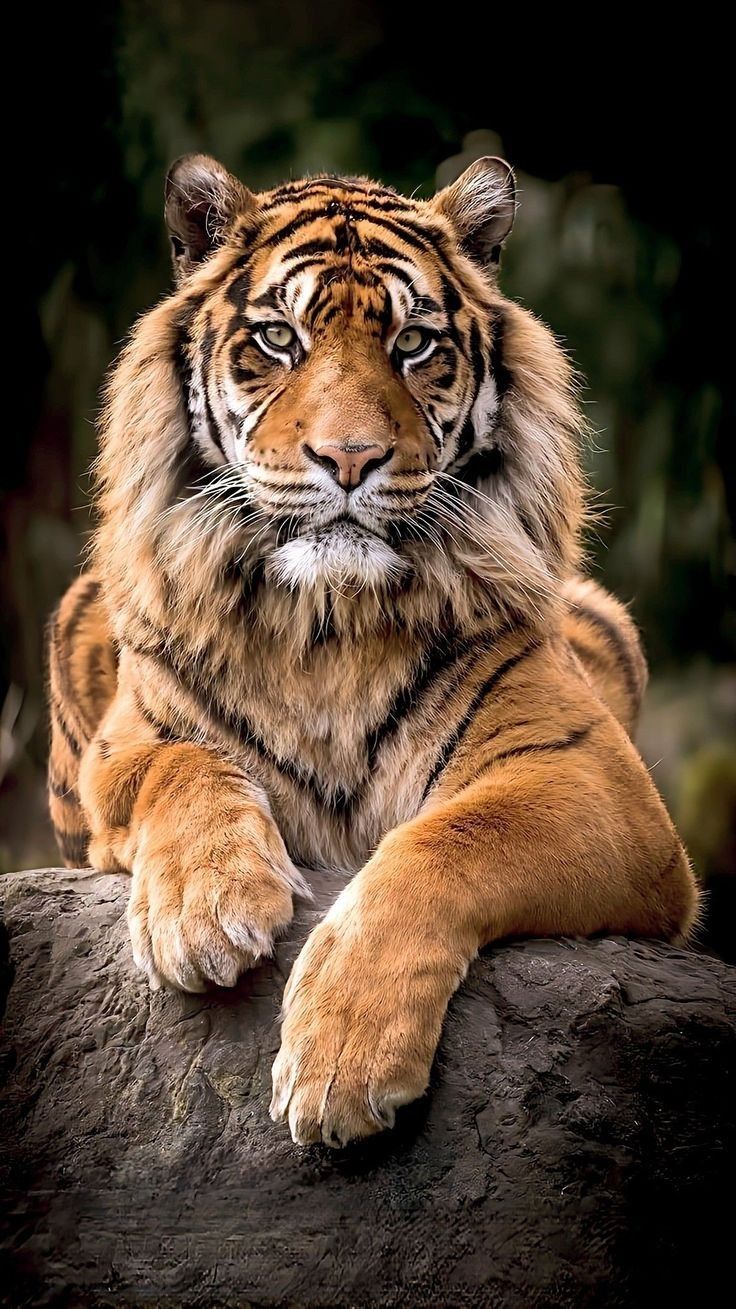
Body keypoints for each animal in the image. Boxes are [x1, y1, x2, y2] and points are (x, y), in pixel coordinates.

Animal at [48, 153, 696, 1146]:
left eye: (414, 343)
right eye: (277, 338)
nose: (349, 459)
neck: (328, 624)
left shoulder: (596, 781)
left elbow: (449, 838)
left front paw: (340, 1061)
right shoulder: (125, 745)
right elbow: (183, 766)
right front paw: (205, 912)